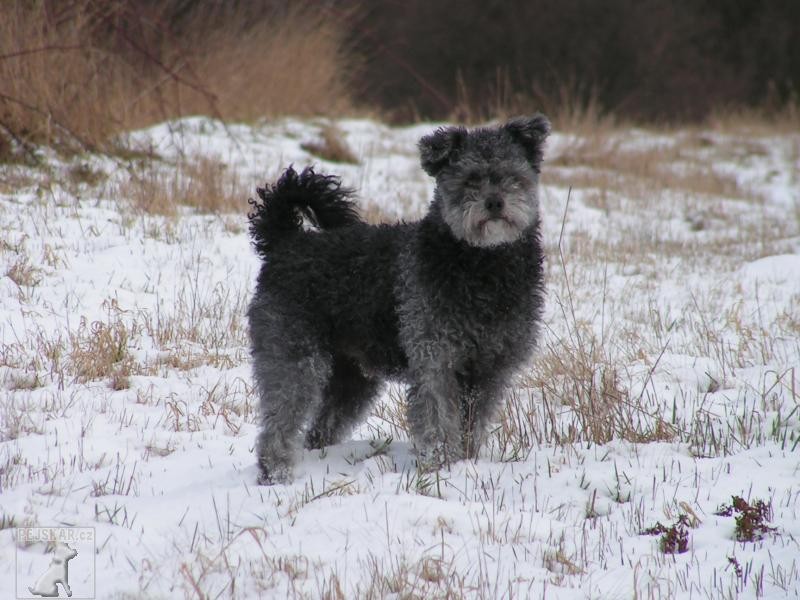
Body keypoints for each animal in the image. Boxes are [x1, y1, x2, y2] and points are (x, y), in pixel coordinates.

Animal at [250, 115, 552, 486]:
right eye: (470, 179)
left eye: (512, 175)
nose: (494, 202)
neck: (483, 266)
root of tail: (285, 241)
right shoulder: (436, 361)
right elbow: (439, 422)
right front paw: (440, 468)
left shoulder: (490, 369)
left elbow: (473, 424)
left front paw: (466, 462)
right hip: (293, 356)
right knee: (280, 420)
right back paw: (276, 472)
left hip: (351, 376)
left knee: (320, 426)